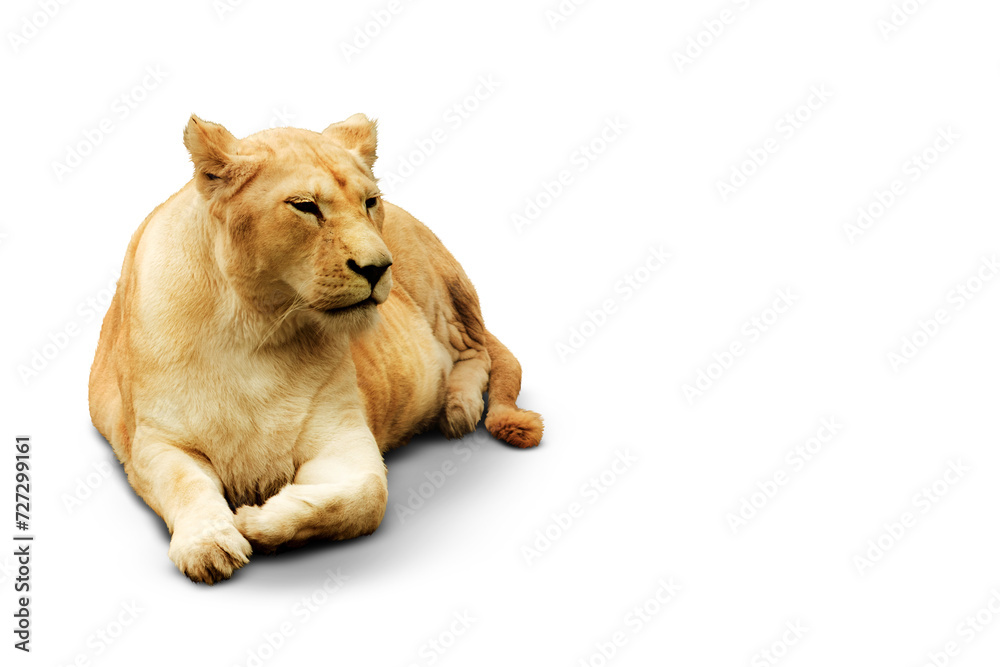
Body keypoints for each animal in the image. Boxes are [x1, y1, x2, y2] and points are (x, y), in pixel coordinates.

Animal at [88, 113, 542, 584]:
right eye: (305, 206)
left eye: (369, 202)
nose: (379, 267)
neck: (256, 327)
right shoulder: (151, 441)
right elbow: (186, 484)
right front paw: (209, 545)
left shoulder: (342, 434)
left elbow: (366, 496)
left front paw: (256, 519)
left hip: (440, 294)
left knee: (477, 351)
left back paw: (457, 407)